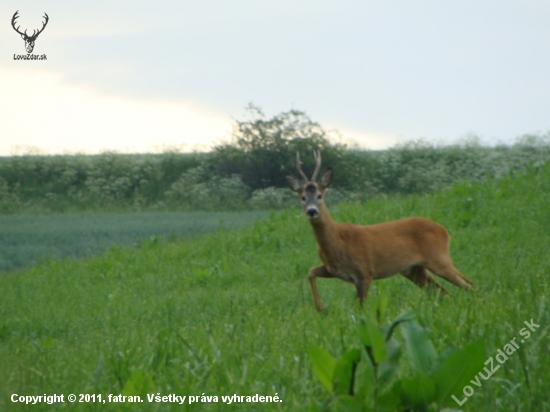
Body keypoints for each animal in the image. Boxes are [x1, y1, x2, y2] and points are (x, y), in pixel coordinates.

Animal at [284, 153, 474, 310]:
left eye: (319, 196)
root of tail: (444, 231)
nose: (312, 211)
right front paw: (321, 308)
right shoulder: (334, 270)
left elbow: (359, 308)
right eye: (302, 197)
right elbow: (310, 272)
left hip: (438, 258)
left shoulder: (365, 272)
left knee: (468, 284)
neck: (338, 241)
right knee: (443, 292)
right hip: (414, 270)